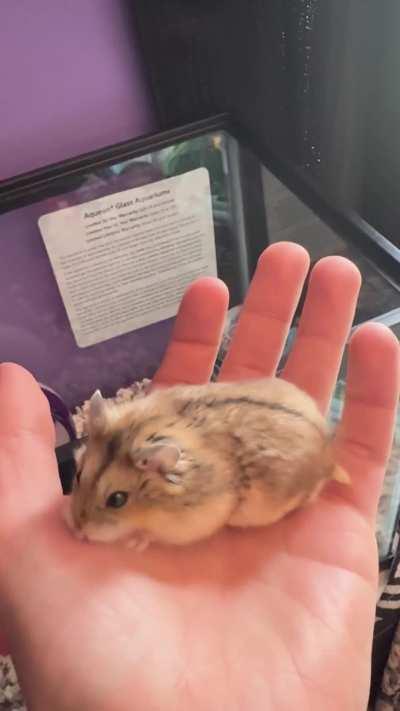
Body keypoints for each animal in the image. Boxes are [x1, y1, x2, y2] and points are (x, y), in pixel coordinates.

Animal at [65, 378, 349, 550]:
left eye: (117, 500)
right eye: (77, 475)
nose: (77, 531)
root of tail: (330, 453)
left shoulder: (194, 523)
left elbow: (152, 534)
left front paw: (134, 543)